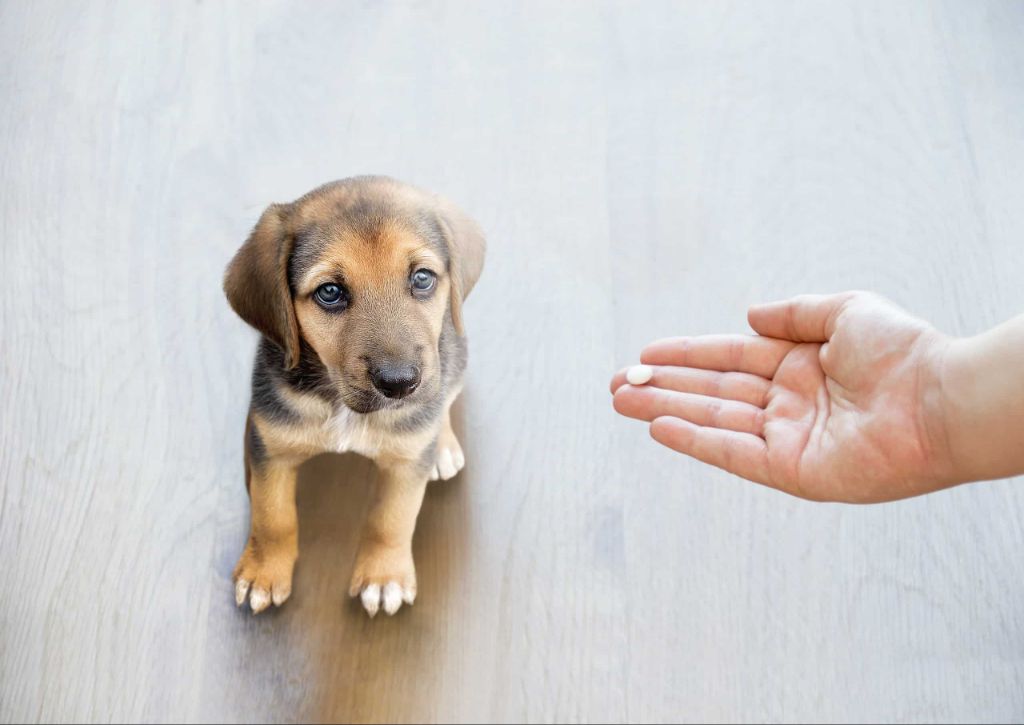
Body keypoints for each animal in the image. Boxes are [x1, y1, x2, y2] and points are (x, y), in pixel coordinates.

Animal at [223, 175, 483, 618]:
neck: (342, 404)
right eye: (330, 291)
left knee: (445, 396)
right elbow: (273, 516)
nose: (400, 384)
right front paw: (263, 572)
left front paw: (383, 577)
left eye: (422, 278)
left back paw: (443, 445)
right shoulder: (270, 447)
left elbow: (391, 519)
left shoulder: (406, 464)